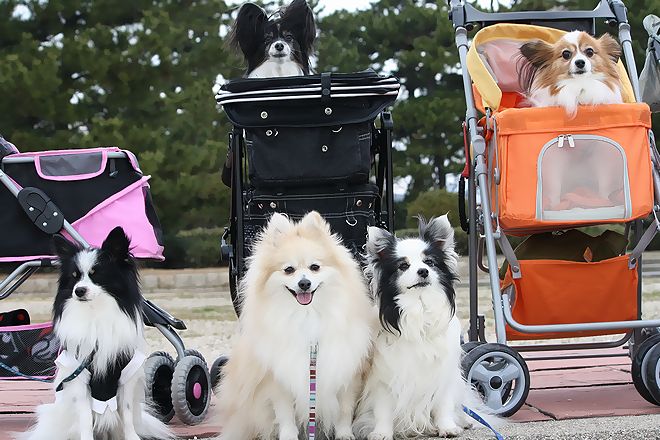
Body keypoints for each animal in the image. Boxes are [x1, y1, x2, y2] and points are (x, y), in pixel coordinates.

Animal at [21, 227, 172, 440]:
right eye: (75, 276)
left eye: (96, 275)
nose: (79, 291)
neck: (96, 312)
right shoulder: (78, 378)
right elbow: (85, 418)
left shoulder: (126, 378)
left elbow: (126, 415)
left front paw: (132, 437)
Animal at [215, 212, 374, 440]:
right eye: (289, 270)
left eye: (315, 267)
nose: (304, 283)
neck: (307, 315)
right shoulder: (278, 377)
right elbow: (284, 413)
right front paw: (288, 435)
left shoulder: (346, 372)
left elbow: (345, 409)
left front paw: (344, 434)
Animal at [354, 216, 494, 439]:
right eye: (403, 266)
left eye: (429, 262)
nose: (423, 271)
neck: (419, 308)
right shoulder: (384, 377)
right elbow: (382, 408)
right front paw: (382, 432)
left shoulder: (442, 374)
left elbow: (444, 403)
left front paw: (447, 427)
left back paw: (465, 421)